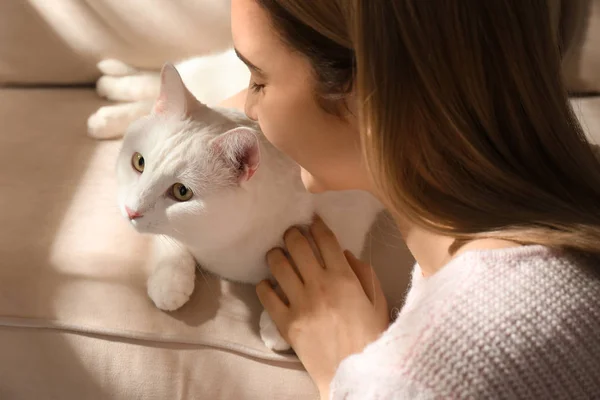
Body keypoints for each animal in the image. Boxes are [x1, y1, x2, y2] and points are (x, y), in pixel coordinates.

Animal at [115, 62, 382, 350]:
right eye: (139, 162)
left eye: (181, 192)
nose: (131, 210)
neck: (223, 244)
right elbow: (170, 244)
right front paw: (170, 282)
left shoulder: (348, 215)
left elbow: (322, 256)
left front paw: (291, 320)